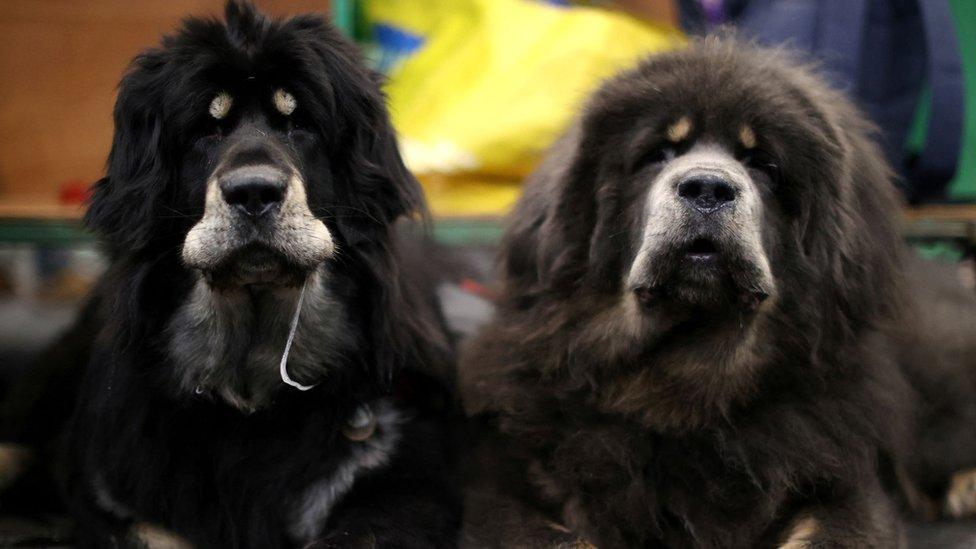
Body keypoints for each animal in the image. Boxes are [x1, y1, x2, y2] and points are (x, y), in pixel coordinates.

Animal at [3, 2, 462, 544]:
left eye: (300, 124)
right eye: (206, 130)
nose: (253, 192)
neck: (251, 387)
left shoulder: (406, 485)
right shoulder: (111, 492)